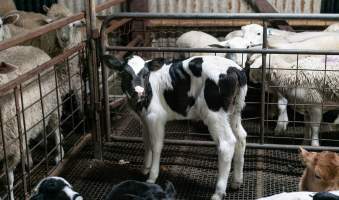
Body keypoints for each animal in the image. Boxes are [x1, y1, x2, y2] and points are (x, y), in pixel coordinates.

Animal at [102, 54, 248, 200]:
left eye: (145, 74)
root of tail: (234, 69)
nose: (139, 91)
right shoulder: (145, 119)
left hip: (214, 114)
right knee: (241, 137)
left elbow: (156, 146)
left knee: (227, 143)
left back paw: (218, 192)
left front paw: (152, 177)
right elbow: (146, 143)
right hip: (235, 111)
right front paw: (144, 169)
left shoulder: (155, 117)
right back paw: (237, 182)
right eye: (124, 73)